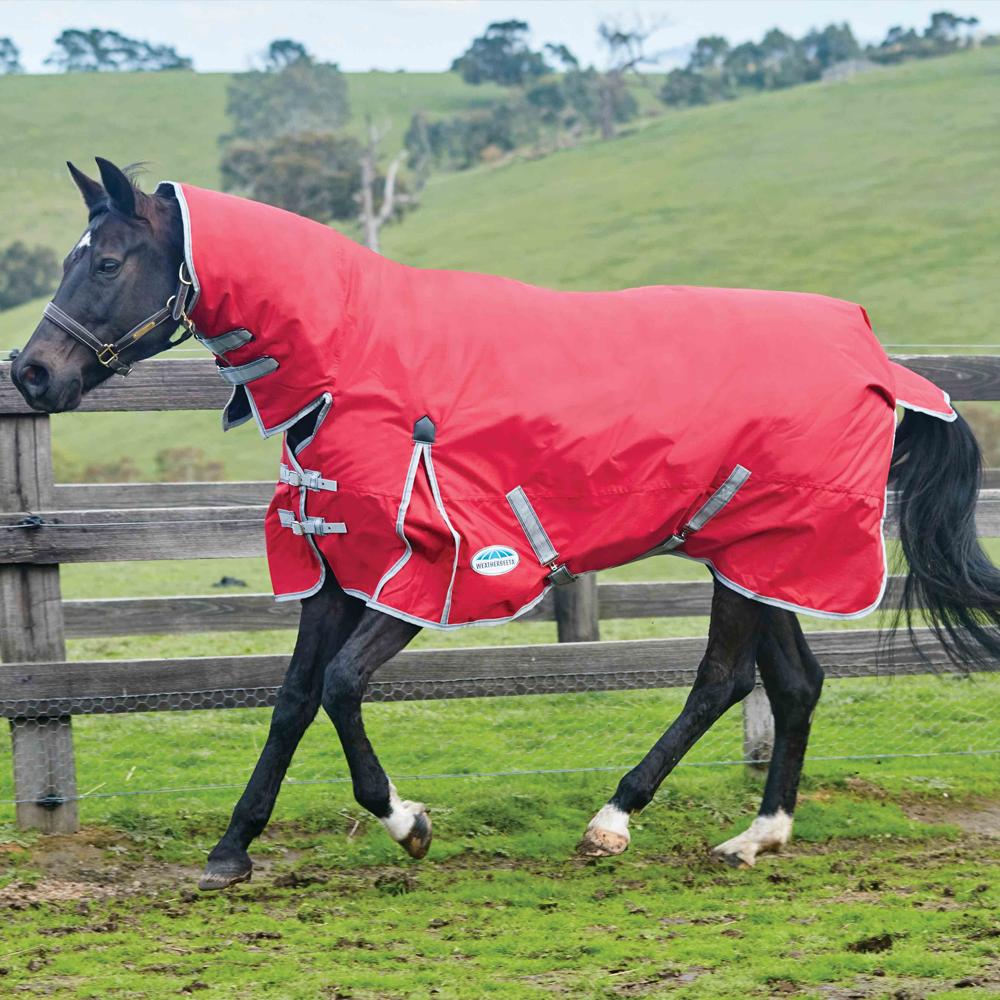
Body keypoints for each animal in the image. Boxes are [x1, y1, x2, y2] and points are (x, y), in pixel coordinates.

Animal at [11, 158, 1000, 891]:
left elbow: (338, 686)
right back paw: (757, 837)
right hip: (759, 558)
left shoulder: (434, 574)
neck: (354, 360)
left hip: (759, 557)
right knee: (794, 684)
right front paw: (230, 851)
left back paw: (612, 822)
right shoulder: (336, 568)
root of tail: (879, 361)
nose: (31, 374)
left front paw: (407, 822)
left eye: (105, 262)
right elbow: (291, 699)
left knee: (721, 681)